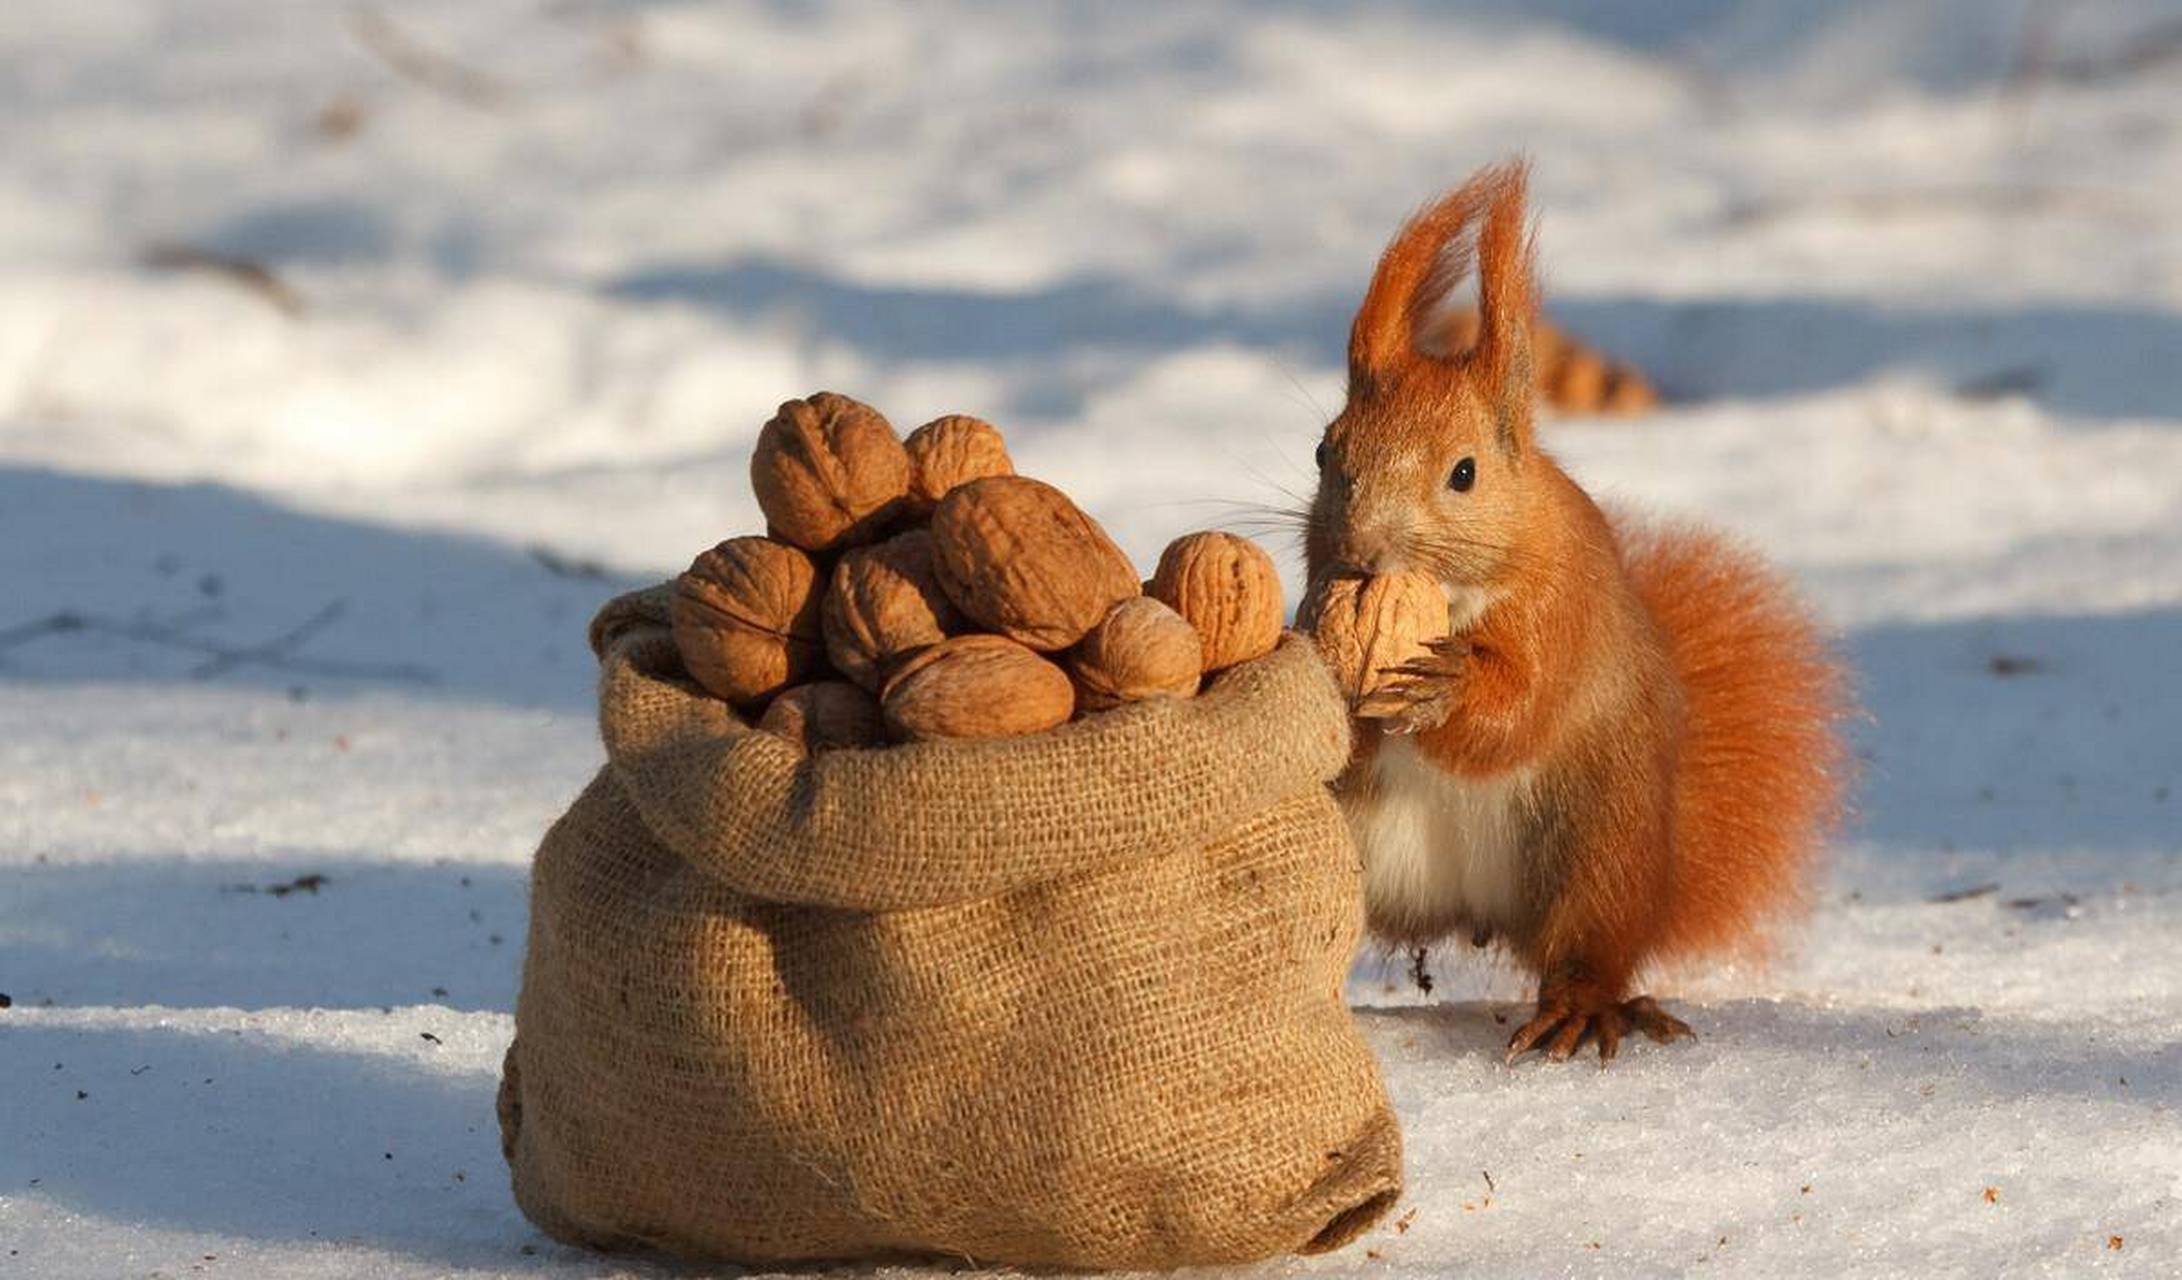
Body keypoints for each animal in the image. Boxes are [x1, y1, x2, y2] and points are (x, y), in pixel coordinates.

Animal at [1300, 158, 1850, 1059]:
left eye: (1464, 473)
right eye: (1323, 452)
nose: (1362, 557)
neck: (1456, 599)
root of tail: (1466, 912)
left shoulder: (1563, 609)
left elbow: (1521, 709)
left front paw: (1447, 687)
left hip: (1601, 841)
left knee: (1590, 944)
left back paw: (1586, 1006)